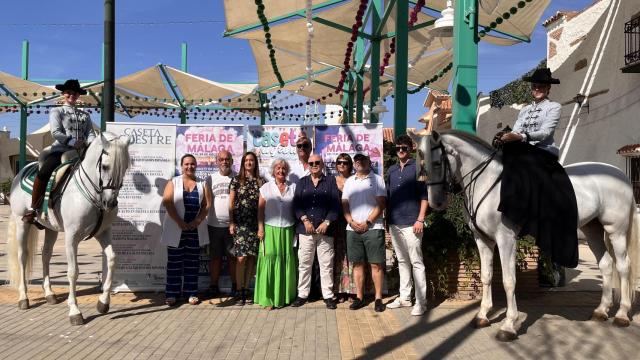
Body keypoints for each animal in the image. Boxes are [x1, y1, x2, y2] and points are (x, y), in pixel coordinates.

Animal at [6, 131, 130, 324]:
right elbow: (73, 272)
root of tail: (23, 170)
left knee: (46, 255)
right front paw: (74, 311)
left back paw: (49, 294)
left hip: (51, 229)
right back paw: (23, 298)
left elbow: (112, 260)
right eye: (105, 166)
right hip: (22, 223)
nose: (109, 203)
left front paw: (103, 302)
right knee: (22, 257)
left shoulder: (103, 233)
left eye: (125, 168)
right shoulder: (72, 237)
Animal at [416, 129, 640, 340]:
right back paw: (601, 311)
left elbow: (509, 281)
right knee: (606, 264)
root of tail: (619, 174)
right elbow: (487, 276)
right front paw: (482, 315)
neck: (487, 182)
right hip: (593, 229)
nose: (436, 203)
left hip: (616, 230)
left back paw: (621, 314)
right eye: (421, 163)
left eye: (437, 162)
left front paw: (509, 325)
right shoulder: (482, 239)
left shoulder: (505, 239)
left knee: (623, 266)